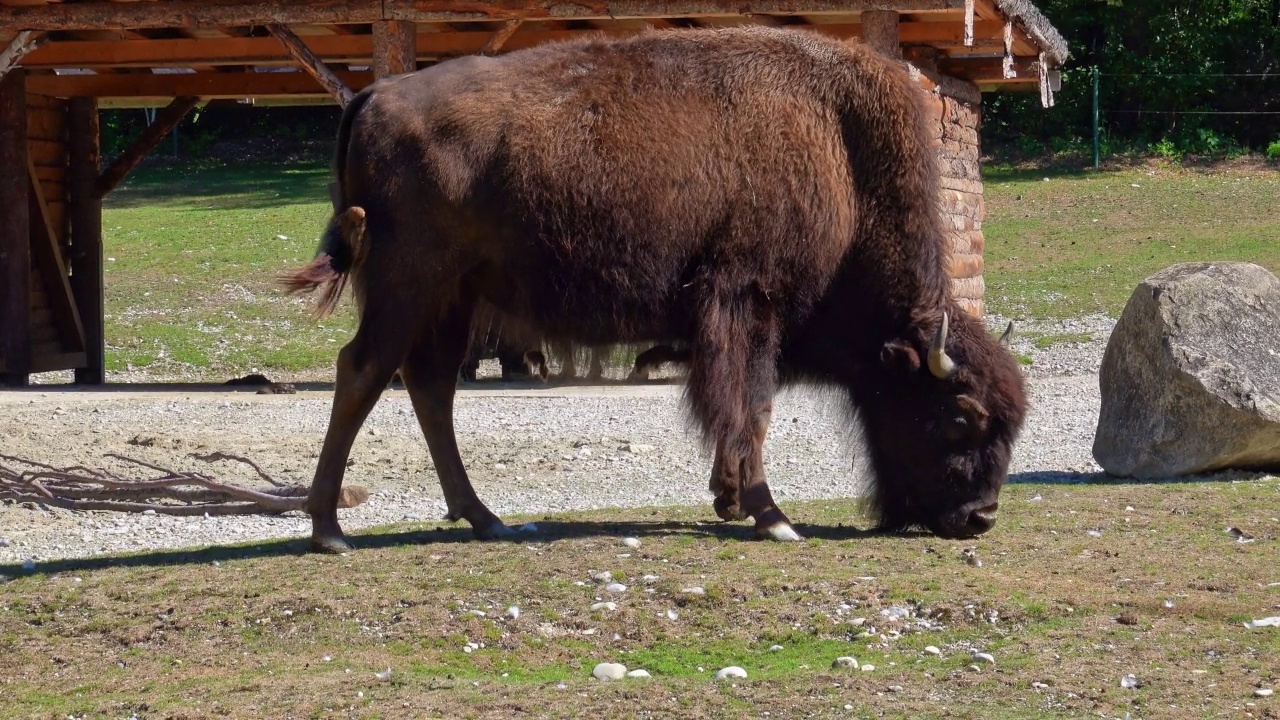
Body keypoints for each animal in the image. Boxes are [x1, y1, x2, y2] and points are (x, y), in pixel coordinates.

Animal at [282, 22, 1029, 548]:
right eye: (959, 416)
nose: (980, 517)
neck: (841, 150)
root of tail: (372, 95)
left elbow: (747, 409)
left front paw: (727, 500)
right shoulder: (748, 302)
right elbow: (750, 407)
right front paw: (771, 515)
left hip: (453, 297)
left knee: (431, 387)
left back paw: (486, 519)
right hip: (407, 285)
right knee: (363, 371)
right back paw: (330, 531)